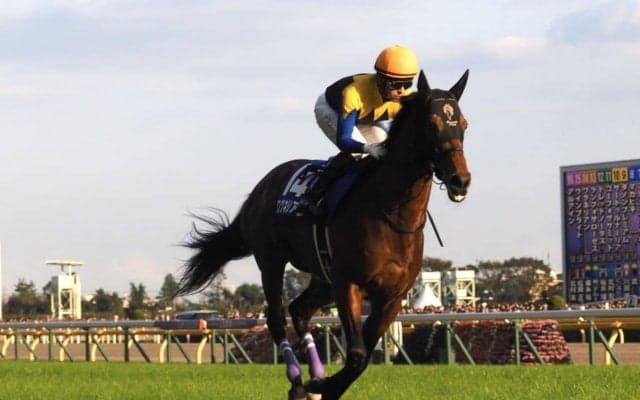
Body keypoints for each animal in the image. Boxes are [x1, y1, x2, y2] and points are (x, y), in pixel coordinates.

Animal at [175, 69, 471, 399]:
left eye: (464, 124)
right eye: (432, 124)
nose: (461, 179)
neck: (391, 214)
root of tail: (261, 188)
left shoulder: (391, 297)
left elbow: (364, 355)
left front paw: (322, 383)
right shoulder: (348, 284)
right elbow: (357, 355)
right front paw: (321, 385)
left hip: (322, 276)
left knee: (299, 310)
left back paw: (312, 376)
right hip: (272, 260)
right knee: (276, 318)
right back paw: (297, 382)